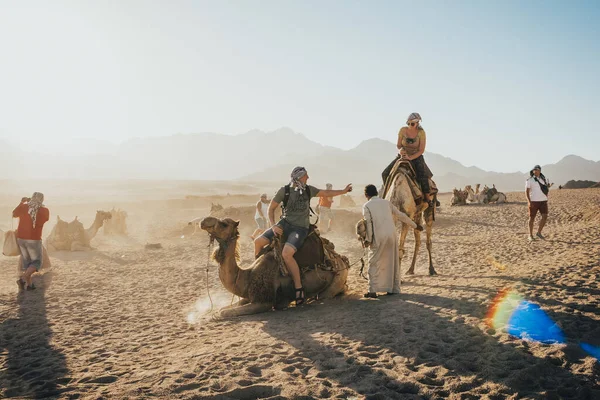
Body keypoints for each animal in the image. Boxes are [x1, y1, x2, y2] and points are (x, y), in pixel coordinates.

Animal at [199, 217, 350, 318]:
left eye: (224, 224)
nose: (204, 221)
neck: (246, 275)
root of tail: (341, 259)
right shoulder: (250, 296)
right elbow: (226, 307)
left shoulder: (263, 301)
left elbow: (223, 312)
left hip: (335, 281)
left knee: (325, 295)